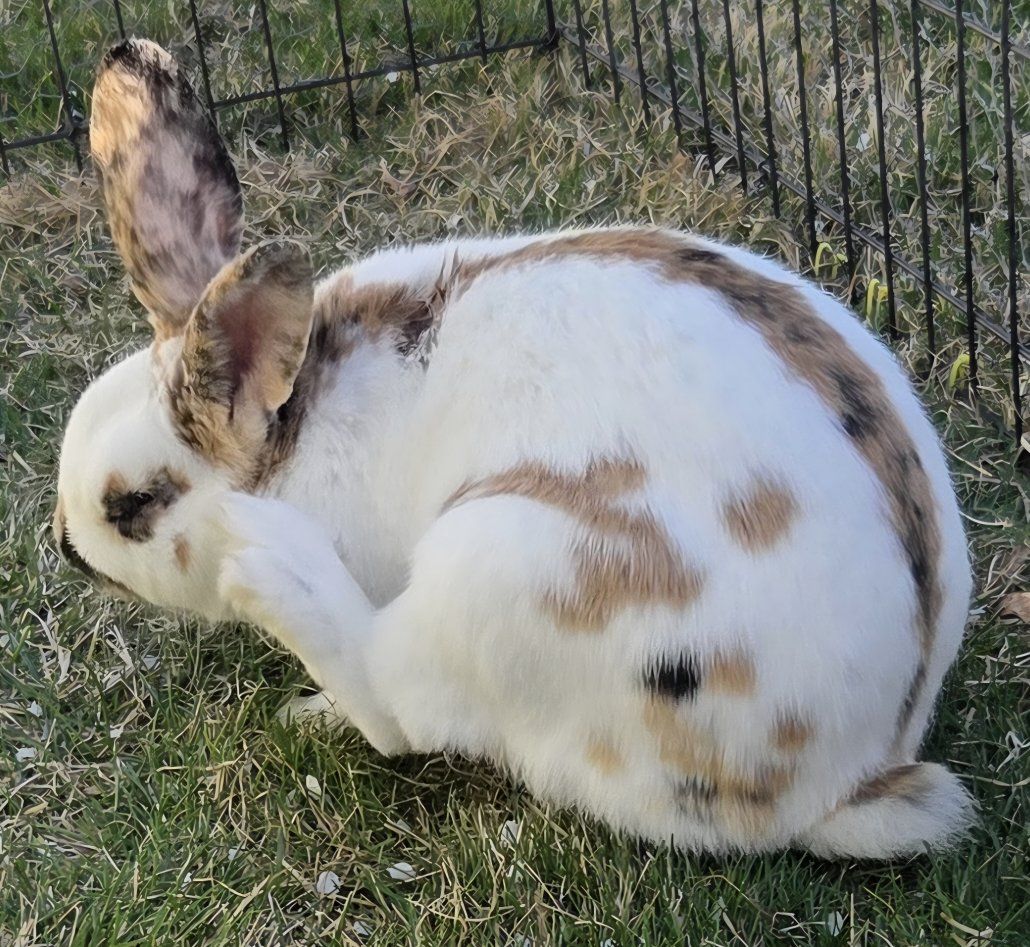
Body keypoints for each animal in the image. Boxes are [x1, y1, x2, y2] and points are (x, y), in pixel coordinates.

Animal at [53, 38, 974, 859]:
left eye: (133, 503)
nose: (64, 546)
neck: (295, 433)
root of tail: (844, 776)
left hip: (506, 571)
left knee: (397, 706)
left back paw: (280, 593)